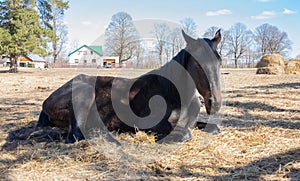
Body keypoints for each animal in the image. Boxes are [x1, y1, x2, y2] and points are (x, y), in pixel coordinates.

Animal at [36, 30, 223, 144]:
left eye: (219, 62)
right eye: (197, 64)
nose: (214, 103)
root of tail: (47, 101)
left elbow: (214, 128)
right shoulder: (151, 123)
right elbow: (185, 133)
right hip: (84, 93)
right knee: (76, 134)